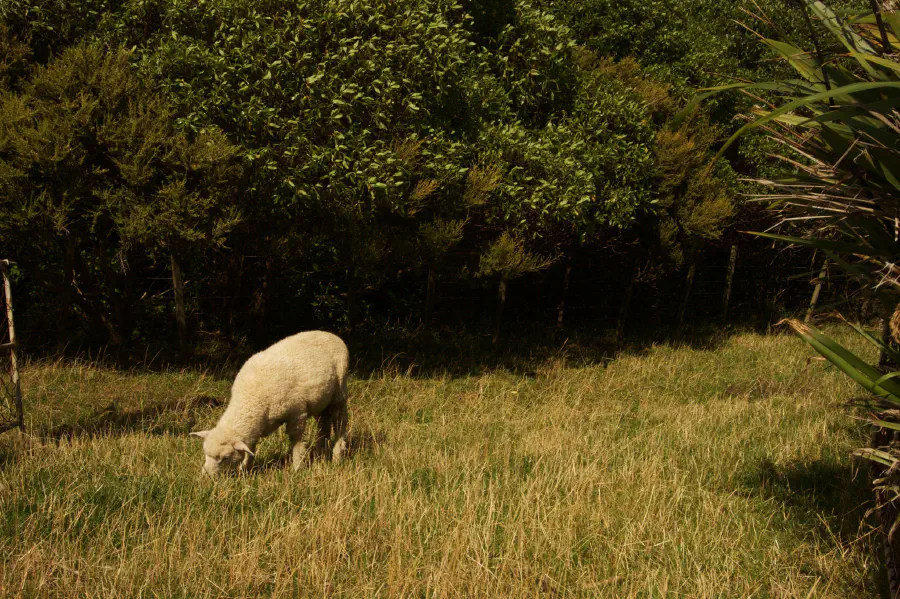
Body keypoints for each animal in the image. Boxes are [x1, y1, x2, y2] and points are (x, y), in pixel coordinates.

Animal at [190, 330, 349, 475]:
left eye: (225, 457)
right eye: (206, 453)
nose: (205, 475)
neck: (251, 398)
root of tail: (330, 334)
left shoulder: (297, 414)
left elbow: (296, 442)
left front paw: (297, 468)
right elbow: (251, 447)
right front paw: (245, 469)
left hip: (339, 393)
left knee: (340, 423)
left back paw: (337, 456)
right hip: (322, 402)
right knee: (324, 423)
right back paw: (320, 452)